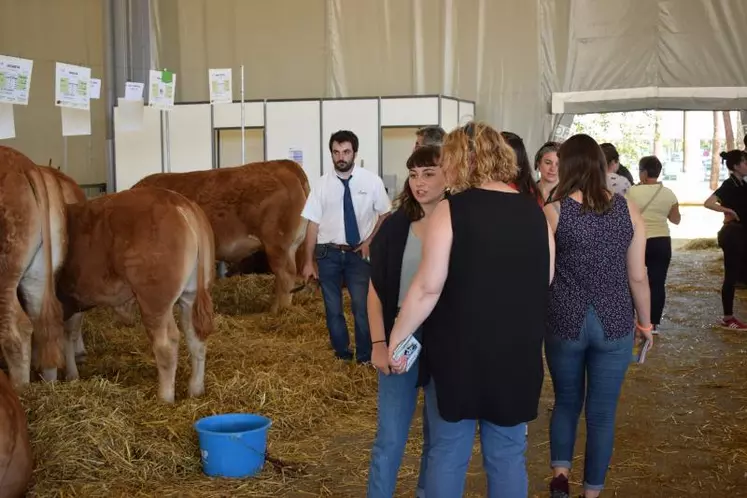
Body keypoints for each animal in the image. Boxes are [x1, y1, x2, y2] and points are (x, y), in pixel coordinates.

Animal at [51, 185, 215, 402]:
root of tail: (177, 199)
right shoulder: (73, 299)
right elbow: (69, 335)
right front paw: (71, 375)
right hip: (191, 294)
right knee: (195, 337)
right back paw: (195, 389)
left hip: (154, 299)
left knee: (167, 343)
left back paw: (164, 397)